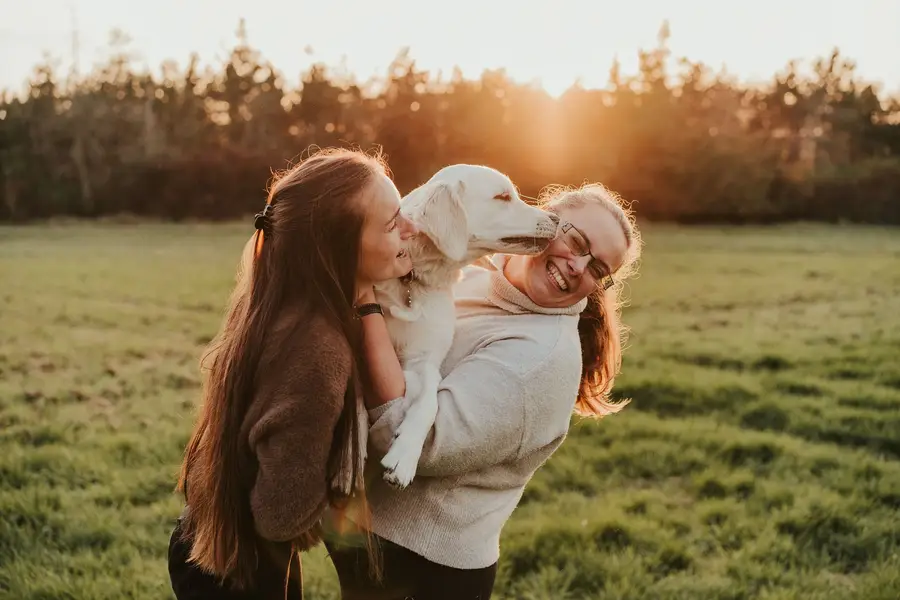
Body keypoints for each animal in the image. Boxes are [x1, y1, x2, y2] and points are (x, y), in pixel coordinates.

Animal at [370, 163, 556, 488]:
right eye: (503, 197)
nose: (557, 220)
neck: (412, 276)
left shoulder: (424, 360)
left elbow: (430, 402)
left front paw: (405, 455)